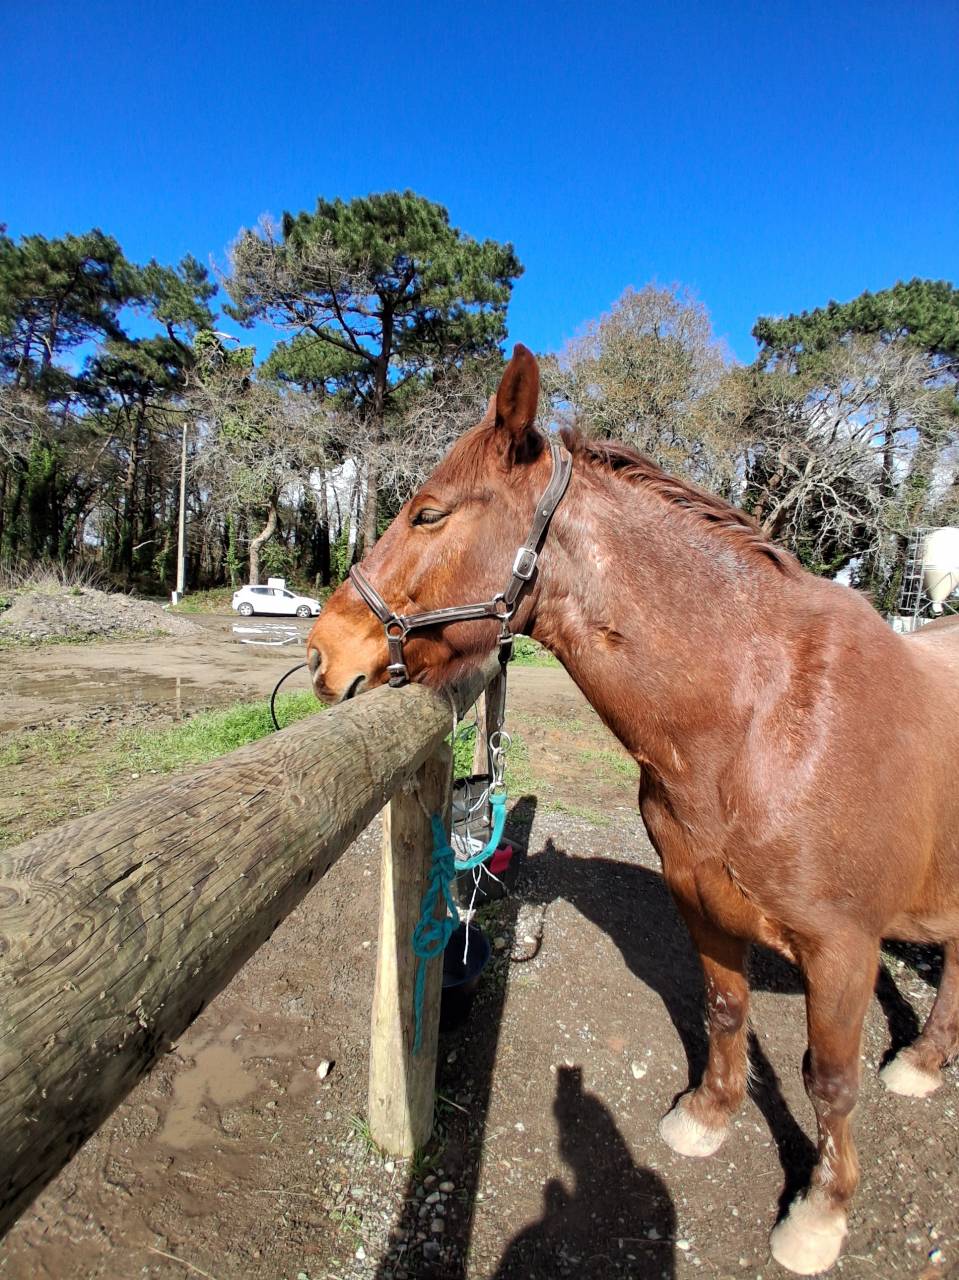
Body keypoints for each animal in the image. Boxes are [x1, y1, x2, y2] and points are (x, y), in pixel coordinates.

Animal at [306, 344, 959, 1275]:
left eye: (427, 514)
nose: (321, 654)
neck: (764, 716)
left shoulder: (842, 948)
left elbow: (828, 1080)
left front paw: (819, 1214)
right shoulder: (702, 902)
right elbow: (724, 1011)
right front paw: (708, 1116)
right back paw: (926, 1060)